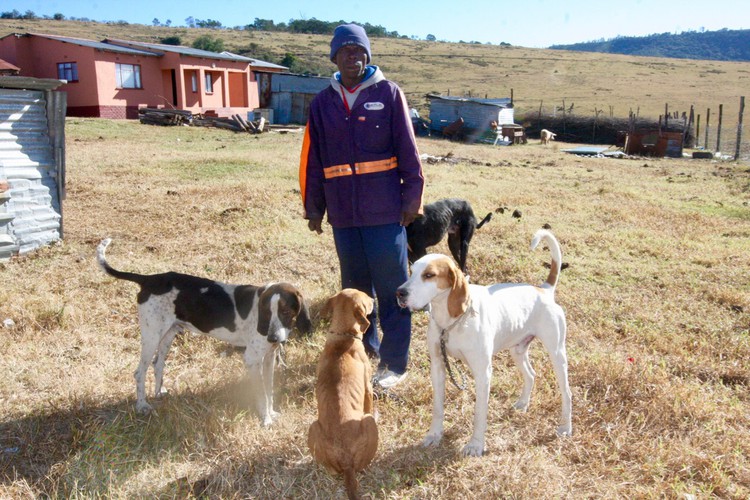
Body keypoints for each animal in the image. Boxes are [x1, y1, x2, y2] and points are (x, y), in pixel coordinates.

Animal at [97, 238, 312, 422]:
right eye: (267, 312)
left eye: (285, 311)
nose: (273, 338)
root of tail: (149, 280)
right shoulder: (252, 359)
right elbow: (262, 394)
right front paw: (266, 420)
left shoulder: (268, 358)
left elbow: (269, 390)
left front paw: (272, 413)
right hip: (151, 336)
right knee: (139, 372)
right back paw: (142, 406)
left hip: (168, 334)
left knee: (158, 364)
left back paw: (159, 393)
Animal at [310, 290, 382, 500]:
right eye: (367, 299)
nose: (374, 300)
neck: (343, 337)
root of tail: (346, 461)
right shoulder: (368, 387)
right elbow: (368, 402)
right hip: (368, 423)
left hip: (313, 427)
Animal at [396, 230, 572, 458]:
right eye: (412, 271)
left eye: (429, 275)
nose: (399, 293)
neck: (452, 321)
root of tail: (544, 289)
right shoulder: (438, 366)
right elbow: (437, 407)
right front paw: (434, 435)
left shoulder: (483, 373)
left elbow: (480, 413)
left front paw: (476, 445)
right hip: (518, 350)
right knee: (531, 375)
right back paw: (523, 404)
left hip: (557, 354)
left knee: (567, 392)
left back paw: (565, 426)